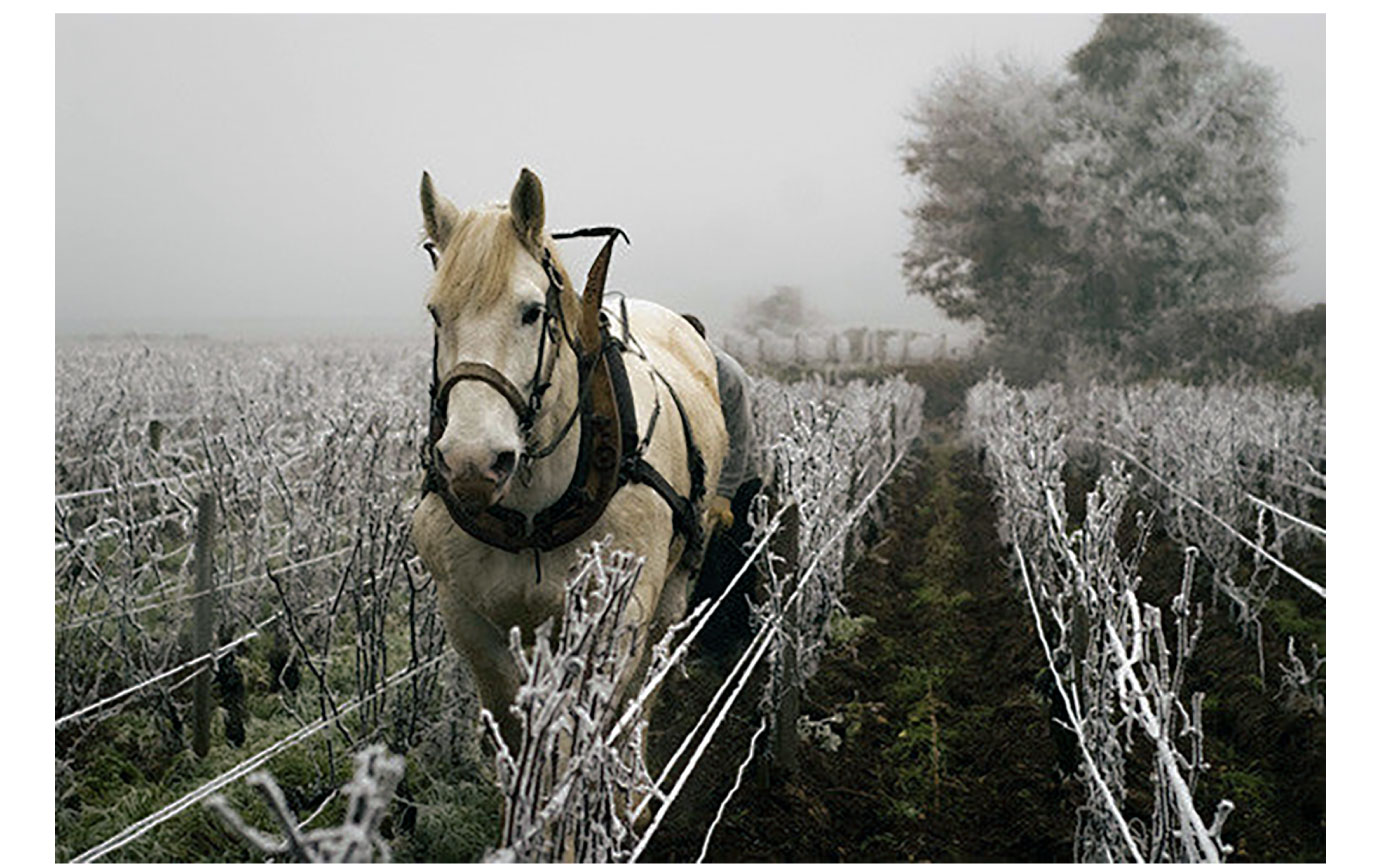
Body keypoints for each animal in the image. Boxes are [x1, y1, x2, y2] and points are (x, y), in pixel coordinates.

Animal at [408, 166, 728, 745]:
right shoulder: (467, 616)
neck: (533, 517)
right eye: (436, 313)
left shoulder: (616, 617)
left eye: (532, 312)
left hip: (675, 581)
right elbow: (515, 725)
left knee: (648, 677)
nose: (472, 463)